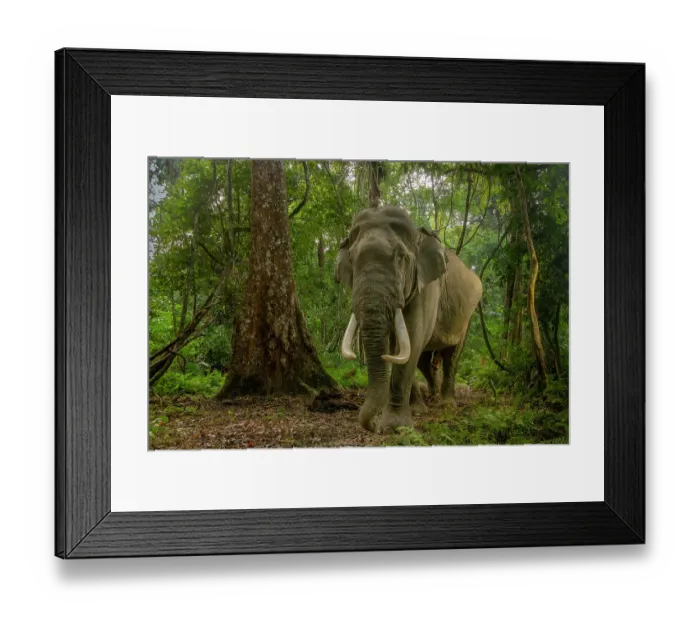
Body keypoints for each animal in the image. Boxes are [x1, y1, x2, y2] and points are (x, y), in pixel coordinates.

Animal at [334, 206, 483, 433]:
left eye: (402, 257)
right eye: (351, 259)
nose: (373, 426)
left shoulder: (428, 288)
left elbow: (411, 340)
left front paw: (395, 427)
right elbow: (402, 348)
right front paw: (416, 410)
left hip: (467, 315)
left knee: (452, 355)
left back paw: (447, 403)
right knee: (425, 359)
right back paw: (432, 394)